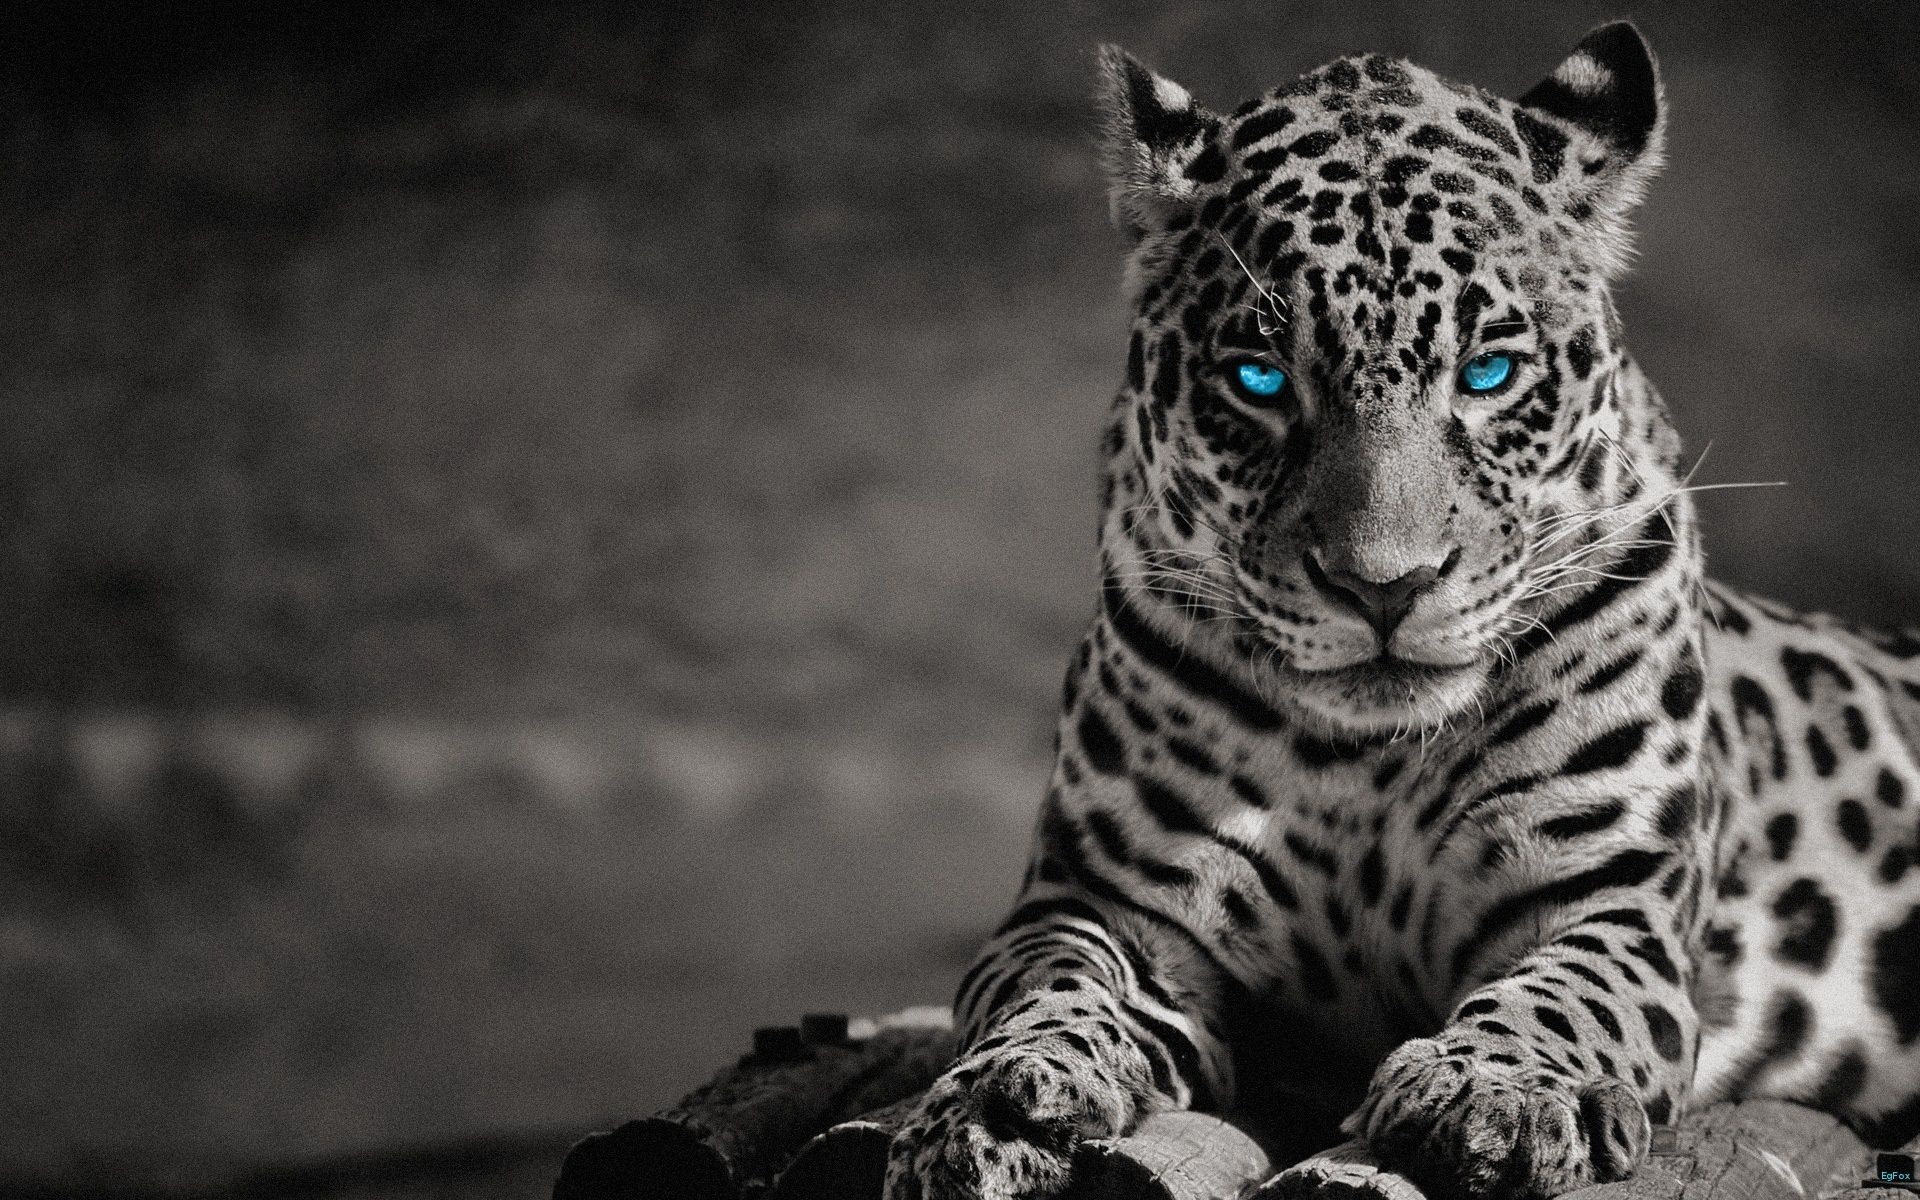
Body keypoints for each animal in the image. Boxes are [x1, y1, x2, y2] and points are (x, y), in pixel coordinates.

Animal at [880, 21, 1920, 1200]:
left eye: (1490, 372)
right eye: (1259, 380)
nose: (1385, 584)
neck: (1364, 766)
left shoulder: (1609, 900)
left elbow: (1561, 998)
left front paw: (1494, 1094)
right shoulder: (1099, 901)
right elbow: (1046, 986)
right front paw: (993, 1103)